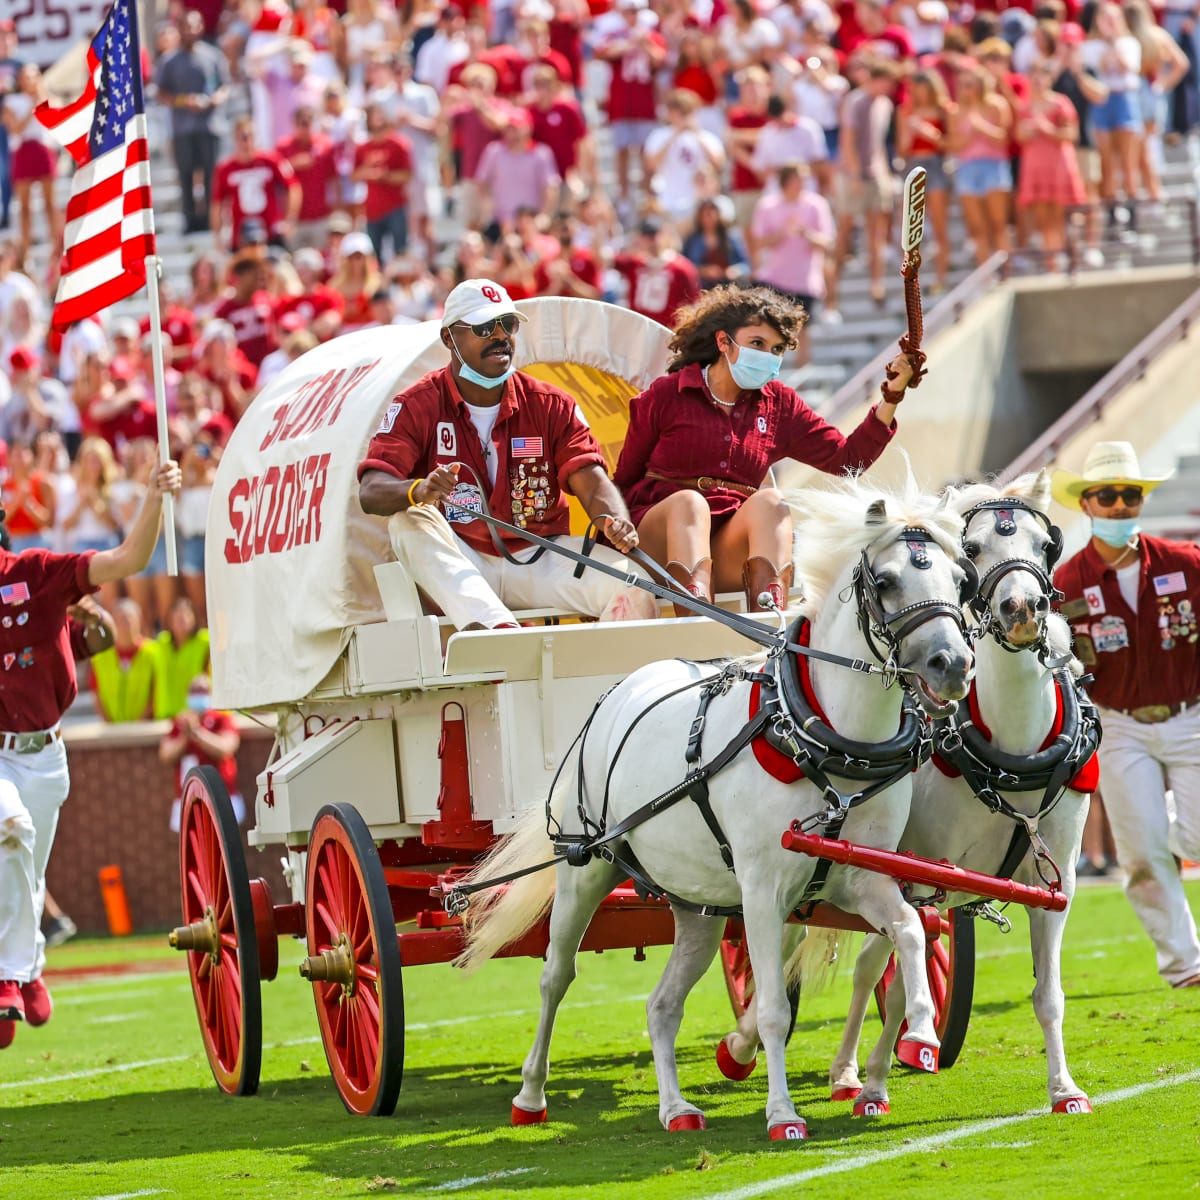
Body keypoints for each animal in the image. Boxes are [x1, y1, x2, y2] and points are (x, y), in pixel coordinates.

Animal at [456, 472, 974, 1137]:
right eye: (885, 582)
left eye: (961, 580)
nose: (953, 664)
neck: (823, 741)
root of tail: (617, 689)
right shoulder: (761, 890)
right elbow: (774, 1007)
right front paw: (782, 1113)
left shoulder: (865, 877)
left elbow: (910, 930)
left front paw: (921, 1032)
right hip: (586, 869)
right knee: (555, 976)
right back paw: (530, 1095)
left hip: (696, 906)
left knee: (661, 1004)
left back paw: (676, 1108)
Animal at [830, 470, 1099, 1113]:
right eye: (972, 552)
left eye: (1046, 545)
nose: (1022, 608)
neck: (1015, 754)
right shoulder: (921, 874)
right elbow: (902, 980)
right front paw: (881, 1077)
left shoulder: (1056, 883)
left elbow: (1049, 994)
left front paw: (1064, 1089)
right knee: (856, 963)